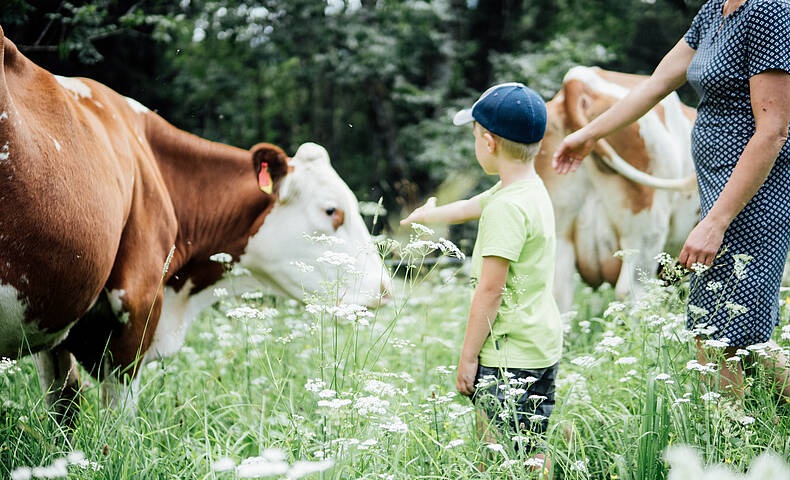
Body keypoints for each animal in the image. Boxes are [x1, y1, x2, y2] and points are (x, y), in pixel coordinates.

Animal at [0, 27, 392, 420]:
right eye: (332, 210)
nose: (385, 289)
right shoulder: (137, 304)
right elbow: (117, 422)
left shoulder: (56, 318)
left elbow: (64, 406)